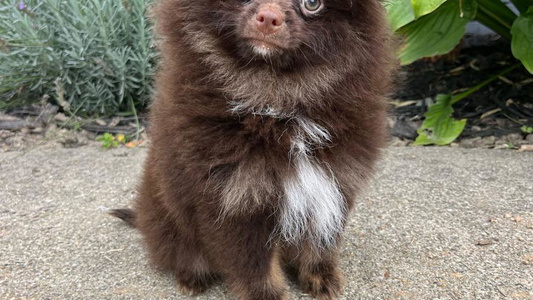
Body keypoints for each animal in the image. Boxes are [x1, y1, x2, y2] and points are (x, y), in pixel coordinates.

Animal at [111, 0, 394, 300]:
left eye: (312, 4)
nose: (269, 17)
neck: (276, 104)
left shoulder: (331, 184)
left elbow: (320, 242)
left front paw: (320, 276)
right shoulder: (236, 199)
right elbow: (253, 262)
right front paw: (267, 295)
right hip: (168, 219)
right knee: (178, 251)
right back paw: (191, 277)